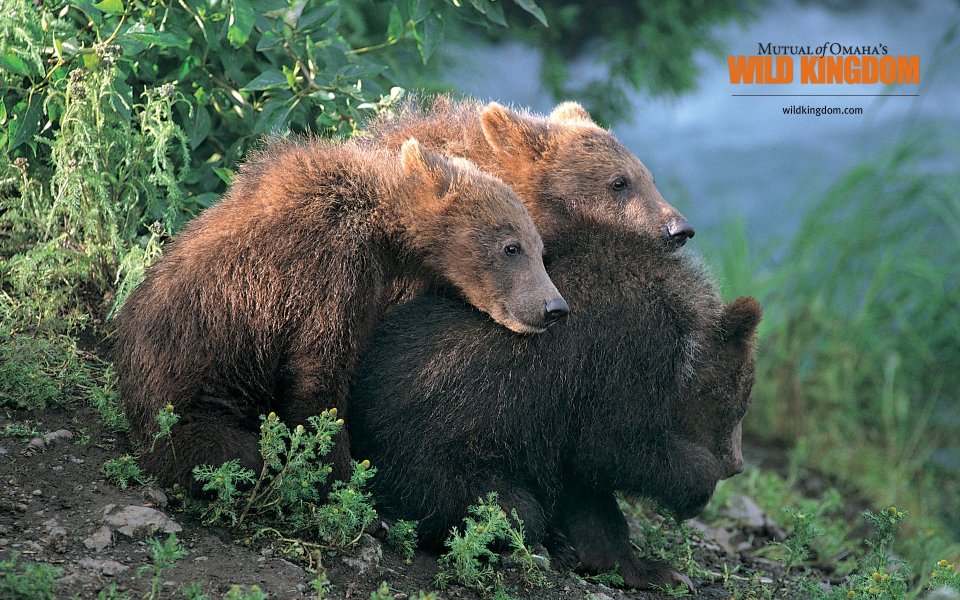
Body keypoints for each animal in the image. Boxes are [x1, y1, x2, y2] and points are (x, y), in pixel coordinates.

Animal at [112, 137, 567, 494]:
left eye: (540, 248)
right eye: (512, 247)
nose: (554, 308)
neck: (386, 231)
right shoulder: (329, 269)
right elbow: (320, 372)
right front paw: (341, 474)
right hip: (192, 398)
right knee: (227, 452)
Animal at [349, 219, 761, 590]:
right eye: (739, 402)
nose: (736, 464)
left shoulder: (562, 424)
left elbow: (588, 493)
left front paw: (643, 568)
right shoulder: (624, 357)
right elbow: (614, 446)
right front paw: (696, 489)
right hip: (431, 457)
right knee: (508, 507)